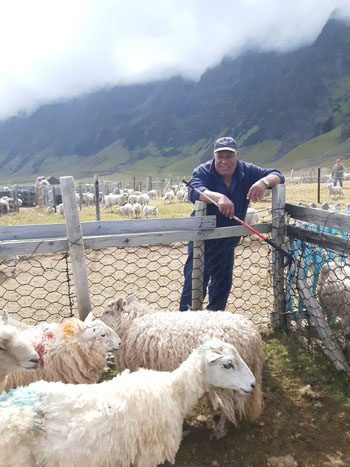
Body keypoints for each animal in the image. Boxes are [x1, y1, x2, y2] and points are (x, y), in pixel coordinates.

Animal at [100, 298, 262, 440]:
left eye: (107, 311)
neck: (130, 323)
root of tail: (254, 336)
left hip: (230, 381)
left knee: (231, 406)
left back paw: (220, 430)